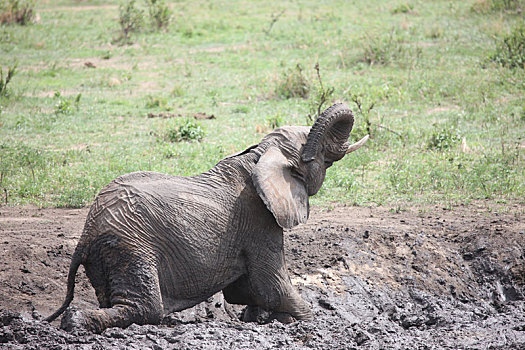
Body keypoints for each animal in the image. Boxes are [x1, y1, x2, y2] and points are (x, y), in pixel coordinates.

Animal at [45, 102, 368, 334]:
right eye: (319, 154)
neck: (259, 154)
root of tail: (86, 233)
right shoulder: (259, 222)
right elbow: (274, 286)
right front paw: (303, 320)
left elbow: (247, 291)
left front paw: (259, 317)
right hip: (130, 246)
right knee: (146, 308)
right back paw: (76, 322)